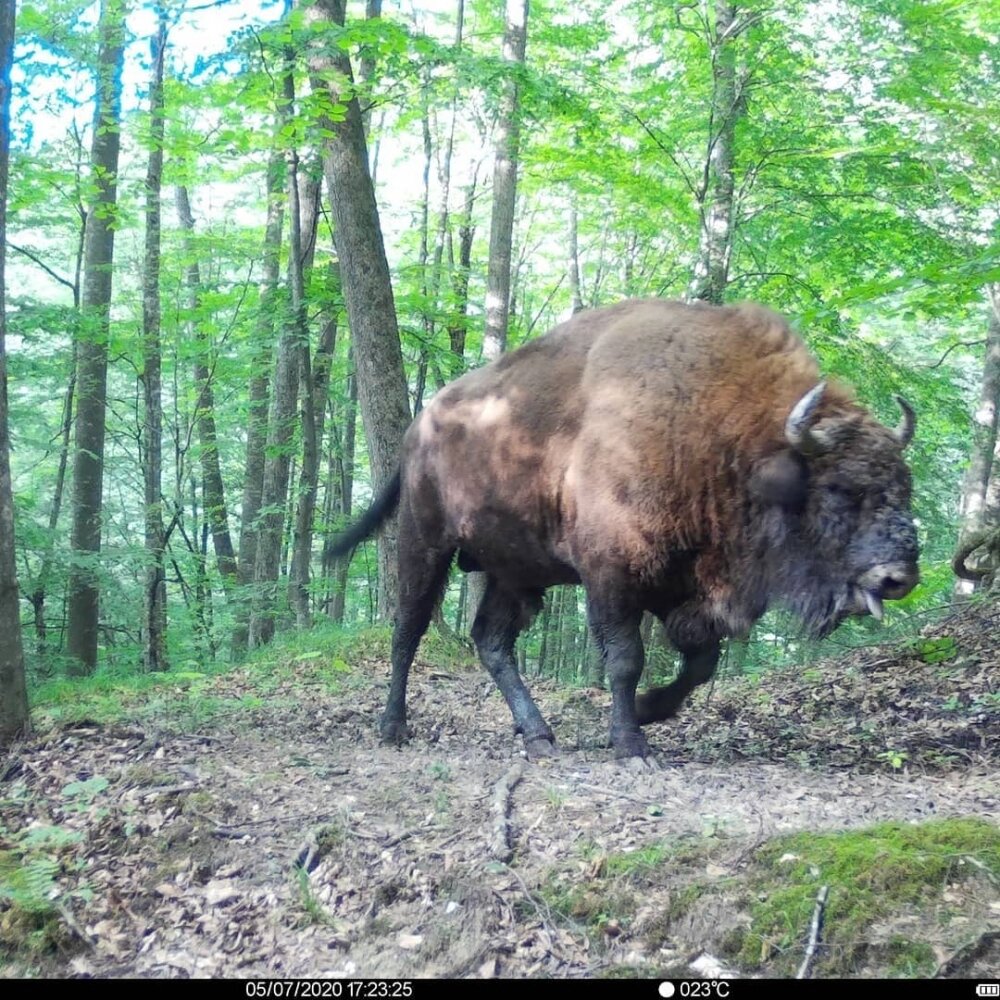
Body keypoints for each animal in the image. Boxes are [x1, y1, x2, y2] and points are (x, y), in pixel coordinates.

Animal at [332, 296, 916, 756]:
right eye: (840, 489)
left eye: (904, 483)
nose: (899, 577)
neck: (716, 437)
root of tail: (418, 428)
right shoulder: (612, 577)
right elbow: (625, 658)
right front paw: (631, 742)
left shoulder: (677, 587)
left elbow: (701, 662)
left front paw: (650, 709)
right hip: (425, 544)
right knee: (409, 629)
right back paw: (393, 728)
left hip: (514, 570)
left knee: (491, 641)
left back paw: (539, 736)